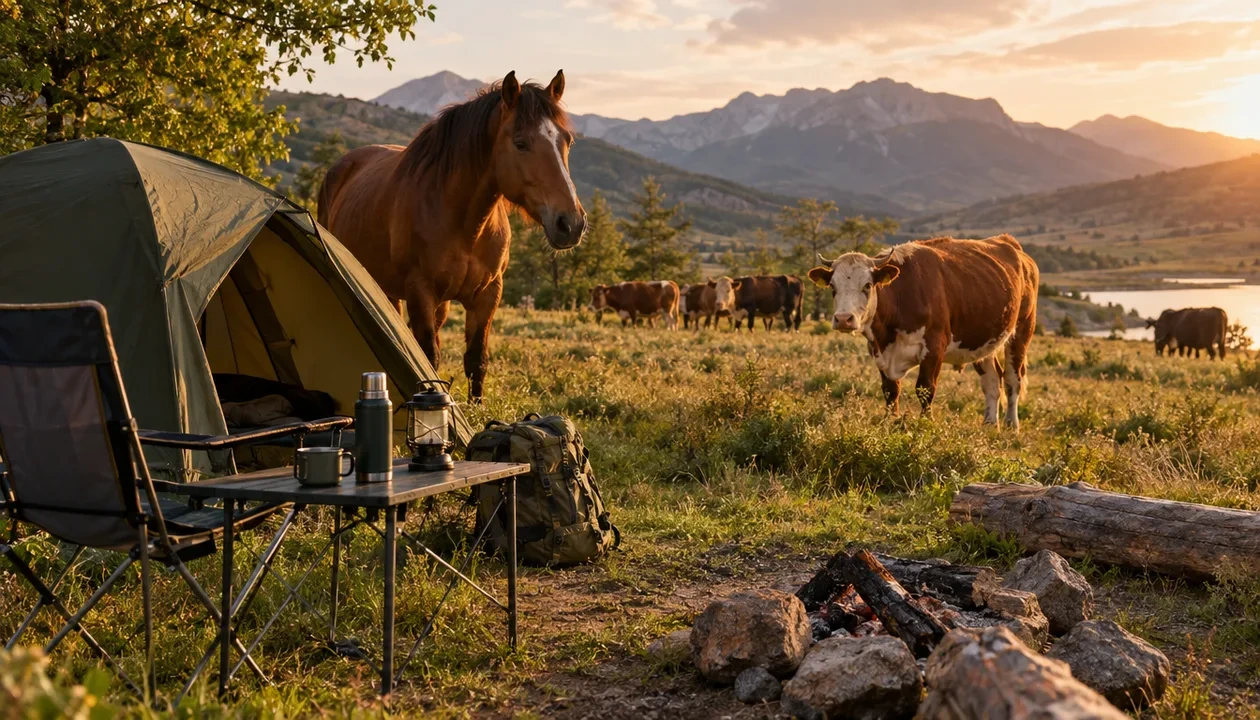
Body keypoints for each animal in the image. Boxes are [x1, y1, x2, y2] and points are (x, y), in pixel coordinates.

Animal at [317, 70, 585, 401]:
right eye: (521, 143)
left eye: (567, 141)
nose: (571, 223)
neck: (465, 226)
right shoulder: (420, 290)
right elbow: (427, 358)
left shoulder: (488, 295)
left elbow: (476, 359)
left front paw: (476, 407)